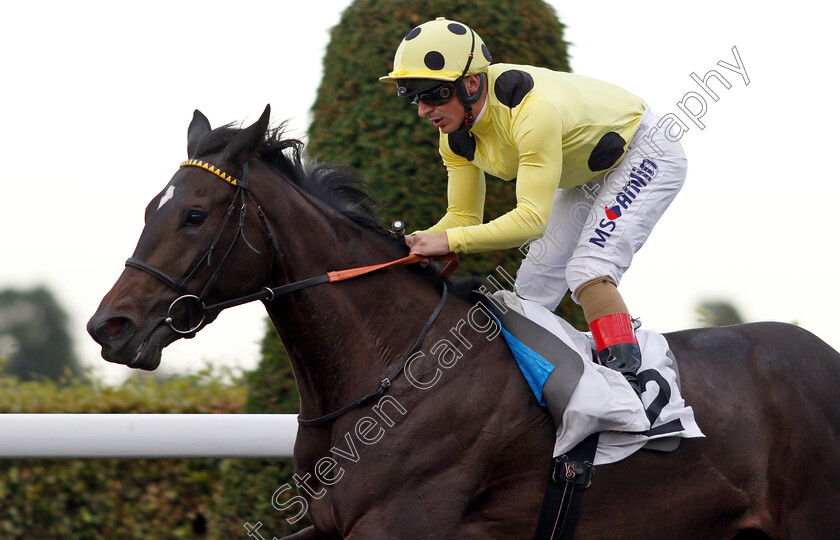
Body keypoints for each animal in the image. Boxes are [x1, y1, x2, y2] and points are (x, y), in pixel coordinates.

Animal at [87, 106, 840, 540]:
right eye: (152, 209)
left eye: (194, 215)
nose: (109, 327)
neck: (393, 367)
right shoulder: (331, 526)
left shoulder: (403, 522)